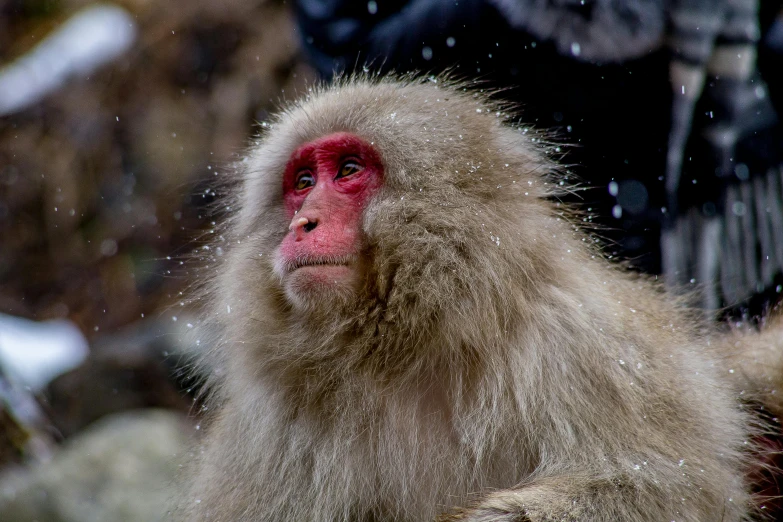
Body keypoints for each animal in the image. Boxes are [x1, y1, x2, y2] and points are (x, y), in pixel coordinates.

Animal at [173, 75, 764, 516]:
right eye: (301, 182)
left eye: (347, 170)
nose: (303, 224)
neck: (405, 346)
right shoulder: (270, 424)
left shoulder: (592, 346)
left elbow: (659, 489)